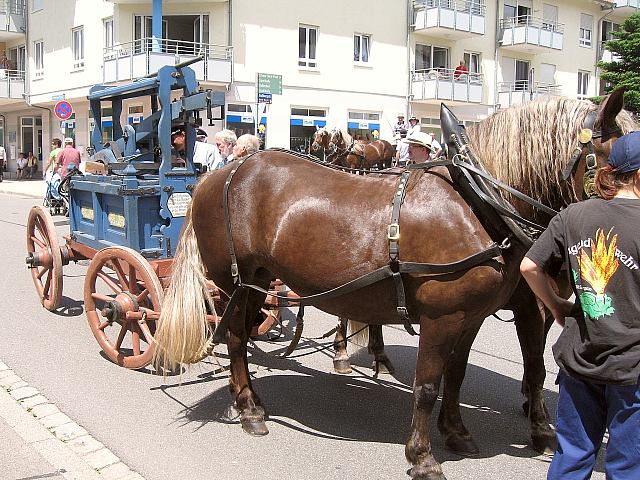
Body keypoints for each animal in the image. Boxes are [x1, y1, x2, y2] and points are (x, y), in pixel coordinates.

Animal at [154, 91, 636, 480]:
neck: (477, 199)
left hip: (257, 281)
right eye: (620, 163)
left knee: (241, 333)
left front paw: (456, 431)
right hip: (233, 280)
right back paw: (250, 407)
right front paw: (423, 457)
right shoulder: (446, 318)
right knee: (235, 338)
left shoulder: (471, 317)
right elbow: (427, 386)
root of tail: (221, 173)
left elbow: (457, 375)